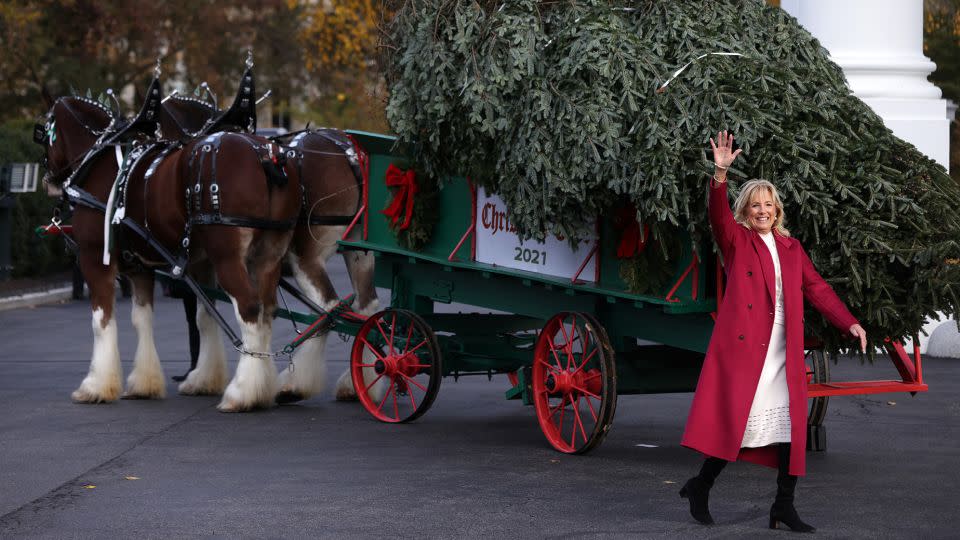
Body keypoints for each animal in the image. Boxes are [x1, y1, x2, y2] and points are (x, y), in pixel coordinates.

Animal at [38, 86, 300, 412]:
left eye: (43, 131)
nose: (48, 178)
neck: (102, 162)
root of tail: (266, 156)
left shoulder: (95, 259)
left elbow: (101, 321)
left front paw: (96, 386)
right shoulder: (144, 267)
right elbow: (150, 319)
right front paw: (149, 383)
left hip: (228, 258)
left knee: (249, 309)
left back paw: (242, 393)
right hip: (267, 257)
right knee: (266, 311)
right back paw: (262, 388)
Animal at [159, 92, 380, 400]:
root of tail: (348, 154)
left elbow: (204, 316)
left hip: (306, 256)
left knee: (328, 309)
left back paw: (295, 385)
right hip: (359, 252)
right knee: (367, 308)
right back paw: (357, 382)